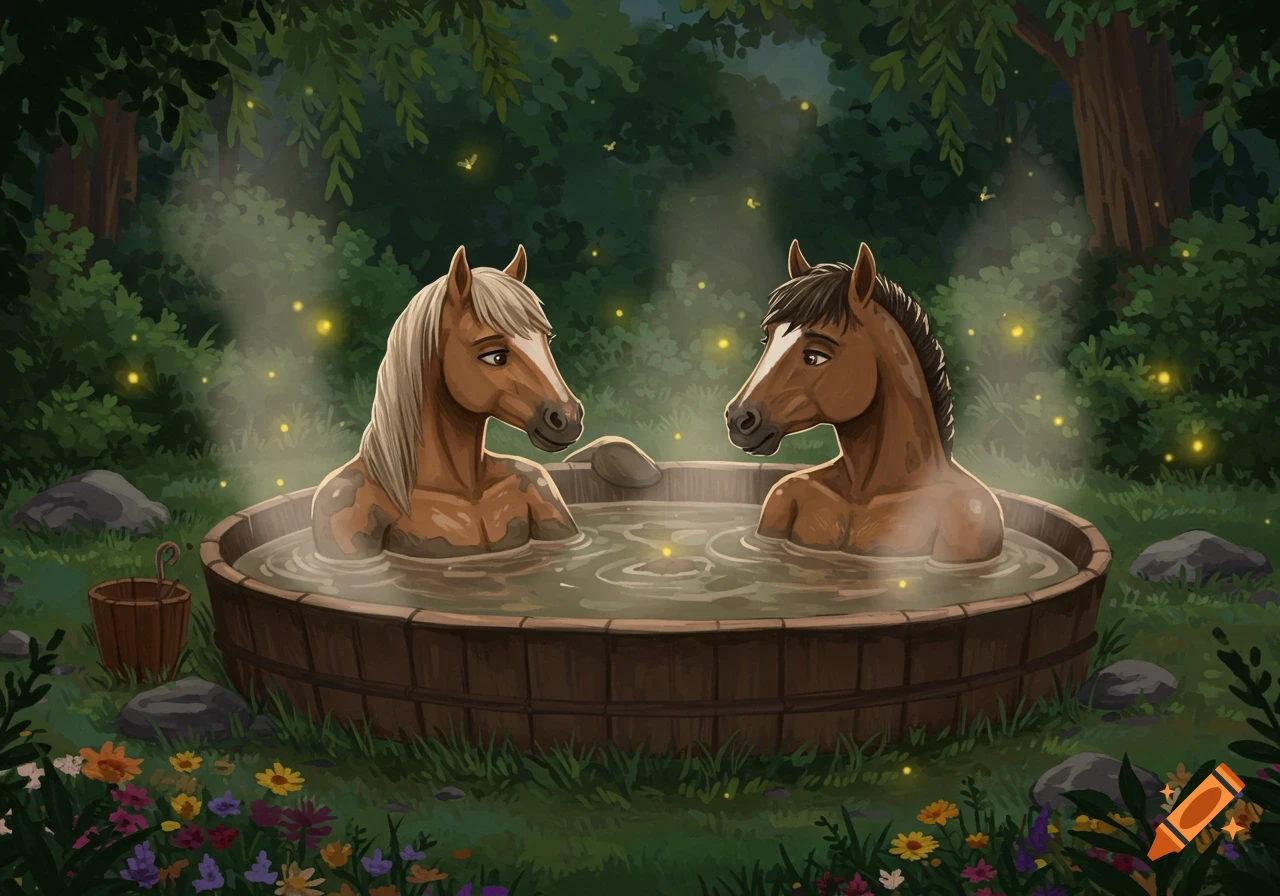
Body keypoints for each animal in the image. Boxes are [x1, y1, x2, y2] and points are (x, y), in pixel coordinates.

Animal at [724, 240, 1004, 564]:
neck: (866, 490)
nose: (739, 418)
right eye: (767, 339)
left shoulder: (972, 519)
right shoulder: (778, 500)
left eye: (816, 356)